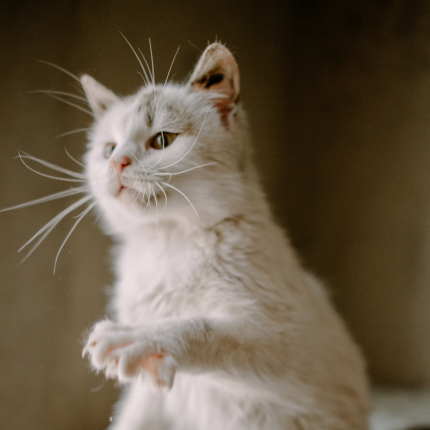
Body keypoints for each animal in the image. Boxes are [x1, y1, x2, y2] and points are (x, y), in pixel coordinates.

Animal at [77, 41, 370, 430]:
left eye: (163, 140)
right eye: (108, 149)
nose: (116, 163)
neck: (168, 244)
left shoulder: (294, 346)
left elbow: (204, 328)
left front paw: (138, 337)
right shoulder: (150, 402)